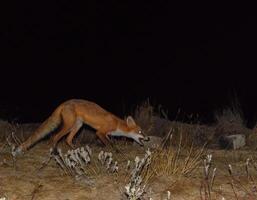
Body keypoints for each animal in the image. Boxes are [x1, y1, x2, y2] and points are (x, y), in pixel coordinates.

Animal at [13, 99, 148, 154]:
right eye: (140, 132)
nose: (148, 138)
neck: (117, 124)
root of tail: (65, 102)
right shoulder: (100, 132)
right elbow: (109, 144)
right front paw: (113, 151)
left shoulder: (106, 134)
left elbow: (110, 142)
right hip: (69, 125)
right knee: (55, 137)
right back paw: (55, 151)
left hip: (78, 125)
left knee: (68, 140)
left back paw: (75, 149)